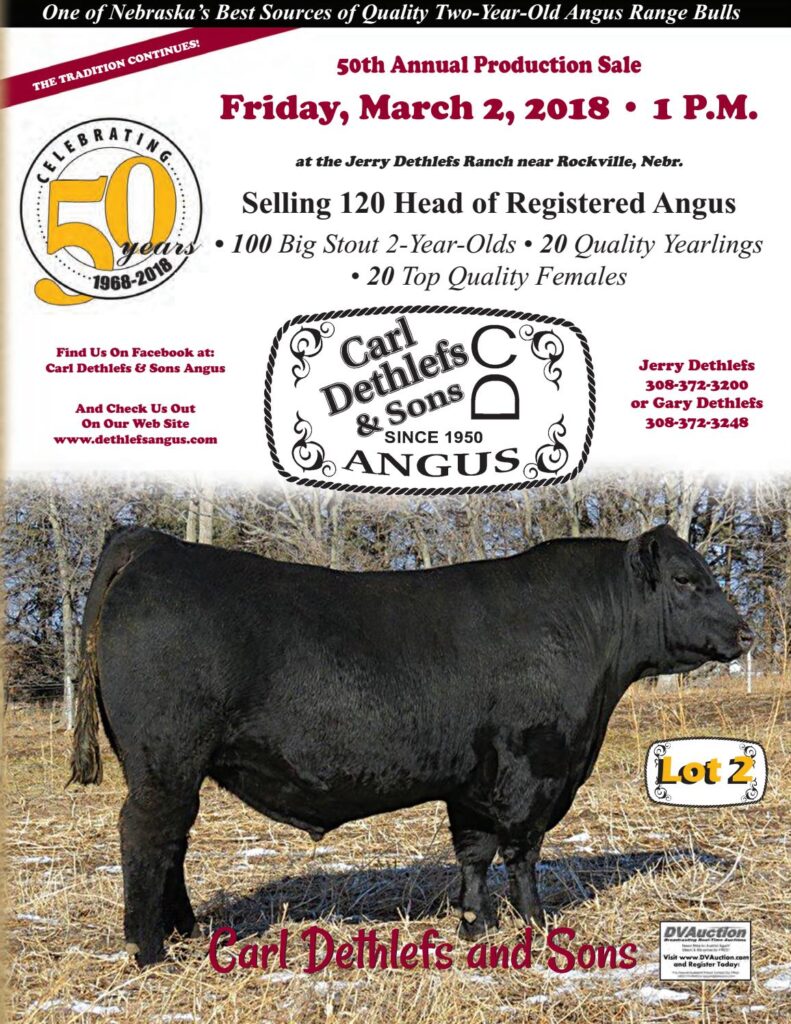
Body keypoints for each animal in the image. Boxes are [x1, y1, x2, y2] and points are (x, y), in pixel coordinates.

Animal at [69, 524, 752, 965]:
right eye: (687, 579)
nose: (746, 631)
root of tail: (158, 544)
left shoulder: (475, 779)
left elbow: (474, 852)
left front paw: (476, 926)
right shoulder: (535, 768)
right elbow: (523, 852)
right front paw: (536, 922)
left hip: (173, 767)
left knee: (172, 842)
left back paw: (184, 931)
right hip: (166, 760)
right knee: (146, 836)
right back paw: (149, 949)